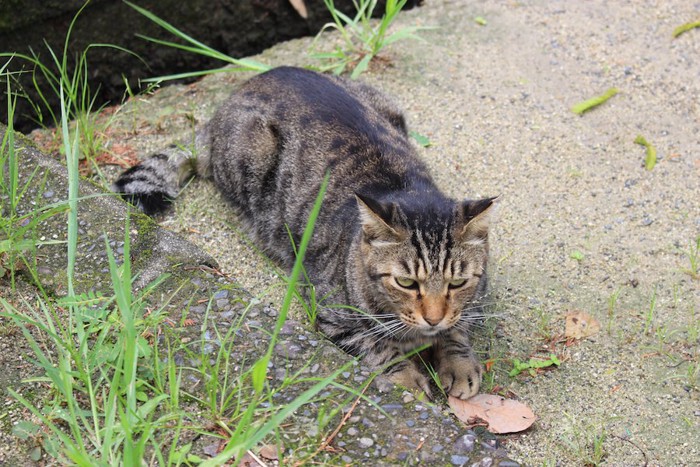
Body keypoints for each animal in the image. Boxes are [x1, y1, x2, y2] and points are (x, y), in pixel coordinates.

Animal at [115, 66, 494, 400]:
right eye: (406, 283)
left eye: (457, 283)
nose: (433, 318)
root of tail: (234, 95)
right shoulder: (332, 314)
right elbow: (381, 348)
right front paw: (408, 380)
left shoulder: (468, 305)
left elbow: (458, 329)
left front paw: (459, 363)